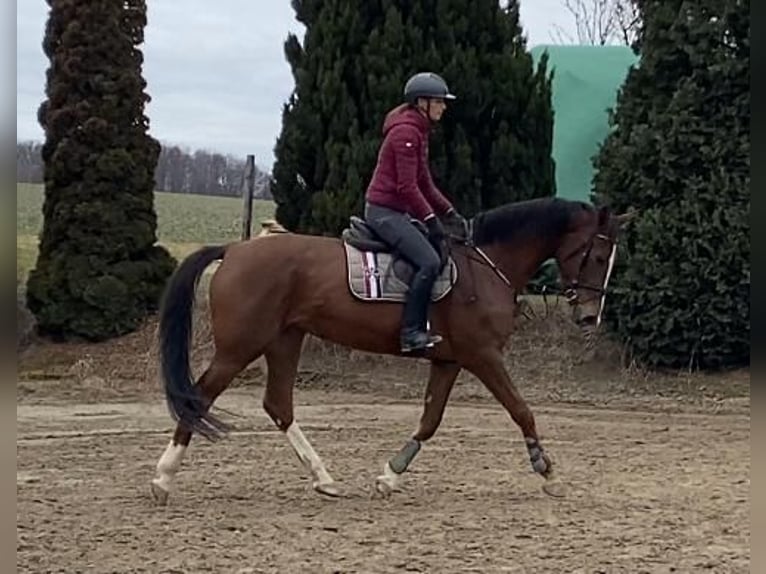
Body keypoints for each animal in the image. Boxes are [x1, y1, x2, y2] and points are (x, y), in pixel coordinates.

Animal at [147, 197, 632, 504]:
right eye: (596, 255)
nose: (590, 317)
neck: (488, 264)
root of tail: (235, 250)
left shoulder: (449, 360)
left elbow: (430, 421)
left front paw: (389, 476)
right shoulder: (483, 356)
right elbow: (521, 409)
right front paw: (547, 471)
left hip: (285, 340)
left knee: (278, 405)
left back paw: (325, 479)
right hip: (240, 347)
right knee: (200, 397)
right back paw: (163, 478)